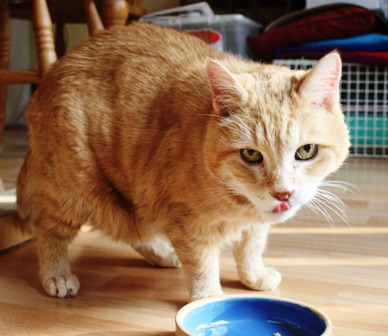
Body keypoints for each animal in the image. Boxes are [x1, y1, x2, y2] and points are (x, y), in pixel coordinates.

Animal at [15, 22, 348, 300]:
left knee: (133, 229)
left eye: (306, 151)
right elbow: (202, 266)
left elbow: (250, 247)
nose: (283, 193)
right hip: (76, 189)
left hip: (129, 197)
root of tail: (53, 71)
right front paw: (209, 302)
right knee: (48, 229)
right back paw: (57, 275)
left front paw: (253, 276)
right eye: (251, 154)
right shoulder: (187, 223)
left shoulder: (251, 223)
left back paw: (163, 254)